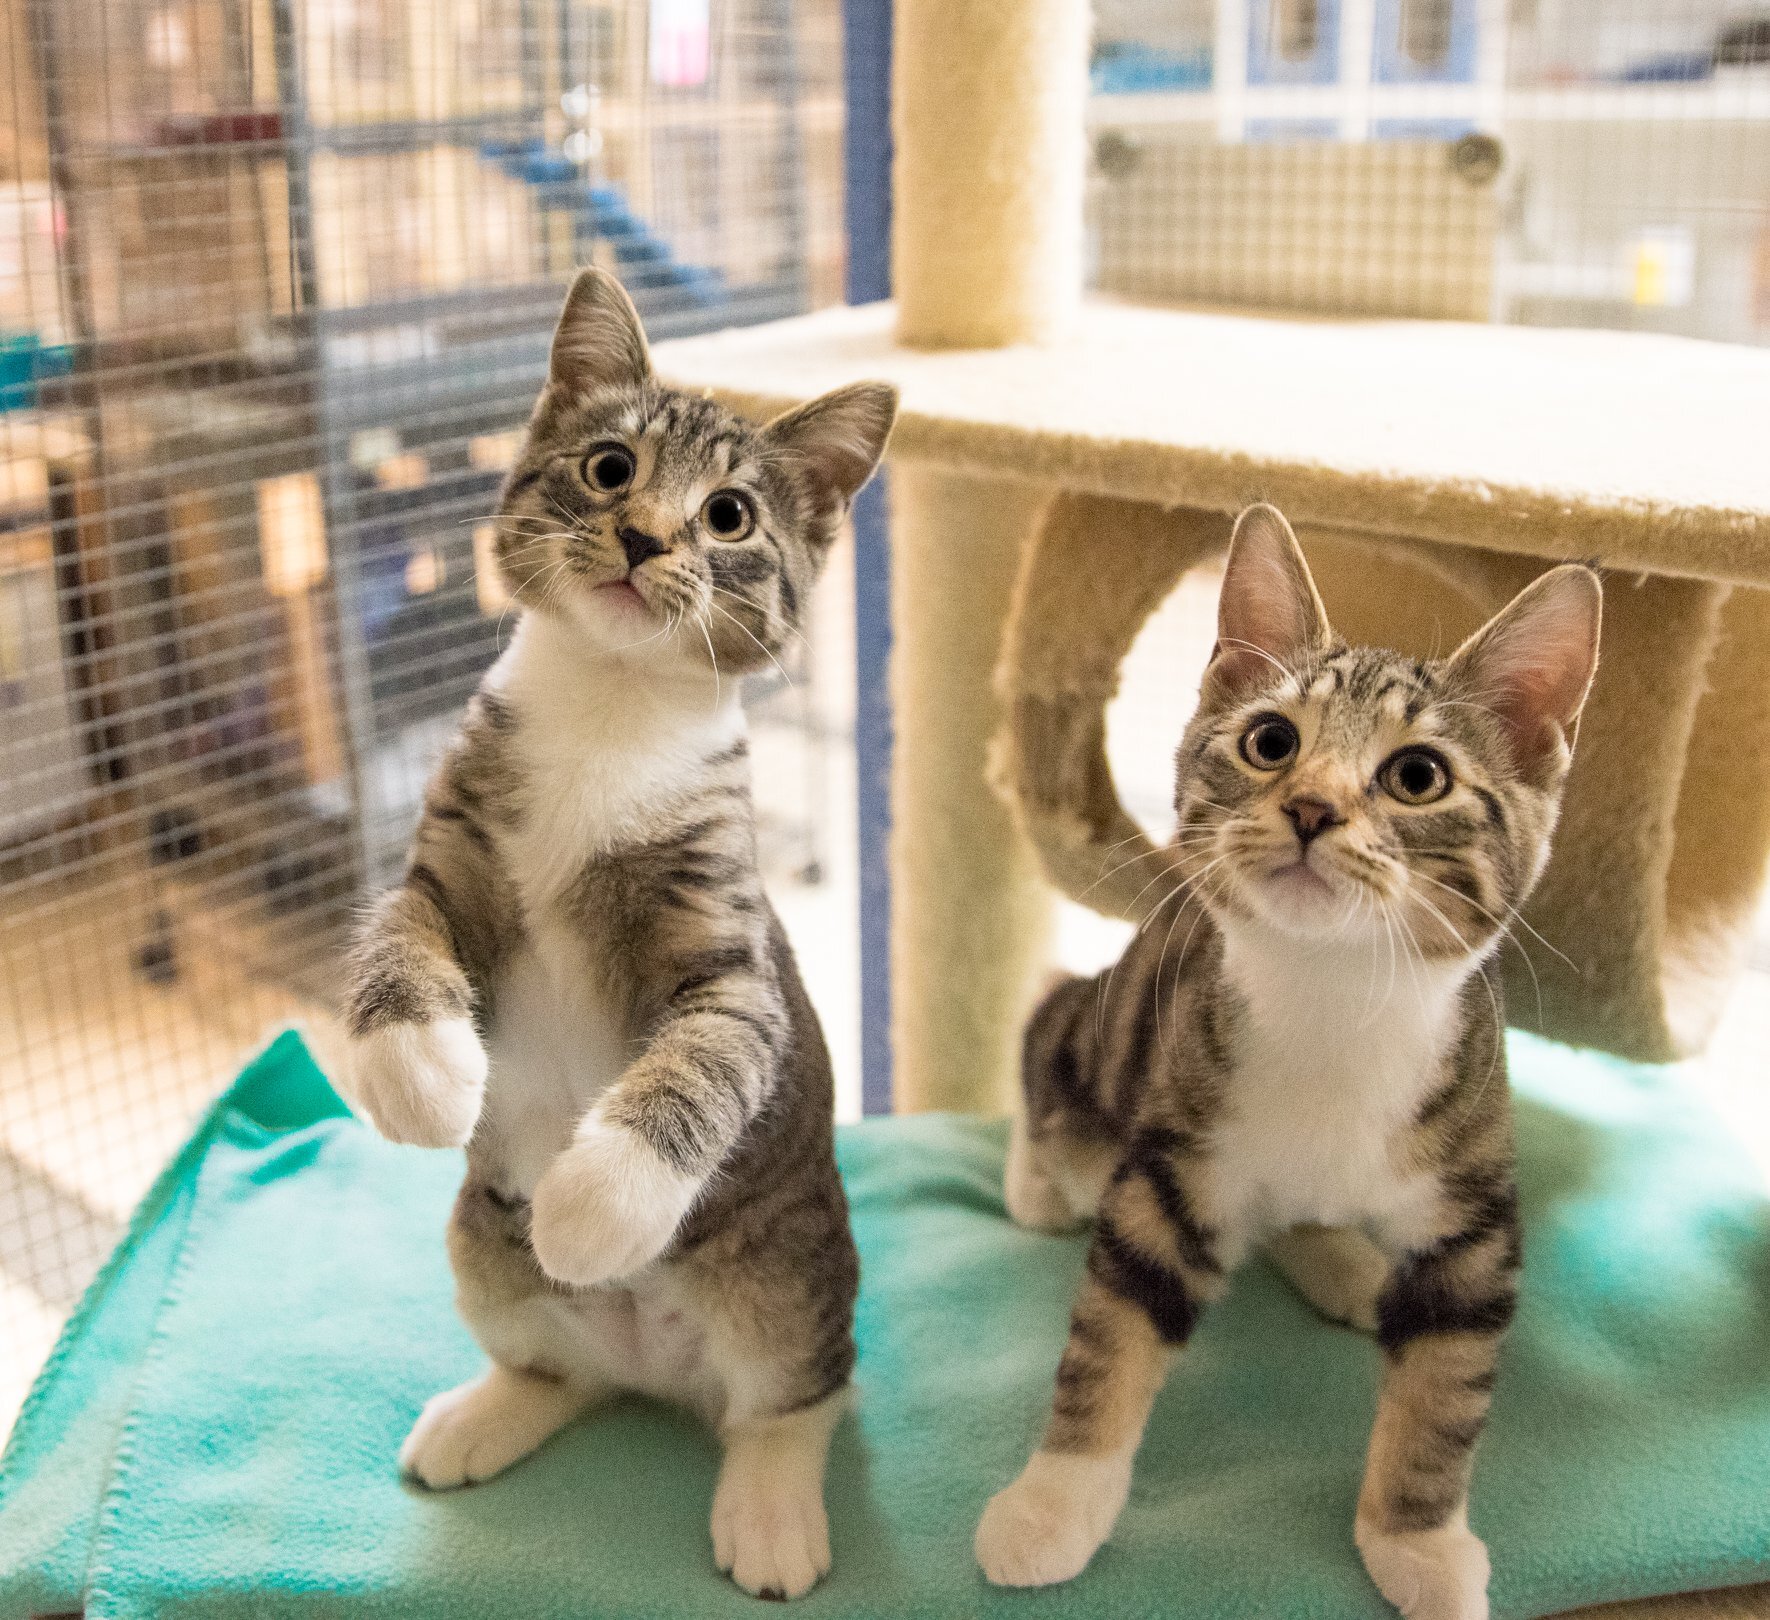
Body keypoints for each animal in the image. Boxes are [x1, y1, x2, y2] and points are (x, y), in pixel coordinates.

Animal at [341, 272, 899, 1600]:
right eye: (608, 468)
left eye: (730, 515)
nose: (645, 537)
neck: (607, 709)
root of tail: (658, 1371)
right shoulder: (453, 848)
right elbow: (399, 927)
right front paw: (418, 1068)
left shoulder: (724, 940)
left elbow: (706, 1057)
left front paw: (598, 1201)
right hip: (481, 1247)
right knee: (556, 1367)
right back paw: (490, 1411)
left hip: (790, 1266)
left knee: (794, 1396)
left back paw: (770, 1507)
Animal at [984, 506, 1607, 1620]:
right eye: (1271, 742)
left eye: (1418, 775)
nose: (1312, 807)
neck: (1334, 1005)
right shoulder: (1173, 1162)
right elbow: (1113, 1330)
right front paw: (1054, 1502)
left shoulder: (1476, 1208)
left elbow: (1447, 1387)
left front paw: (1417, 1541)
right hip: (1115, 1033)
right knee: (1048, 1021)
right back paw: (1043, 1180)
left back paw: (1343, 1260)